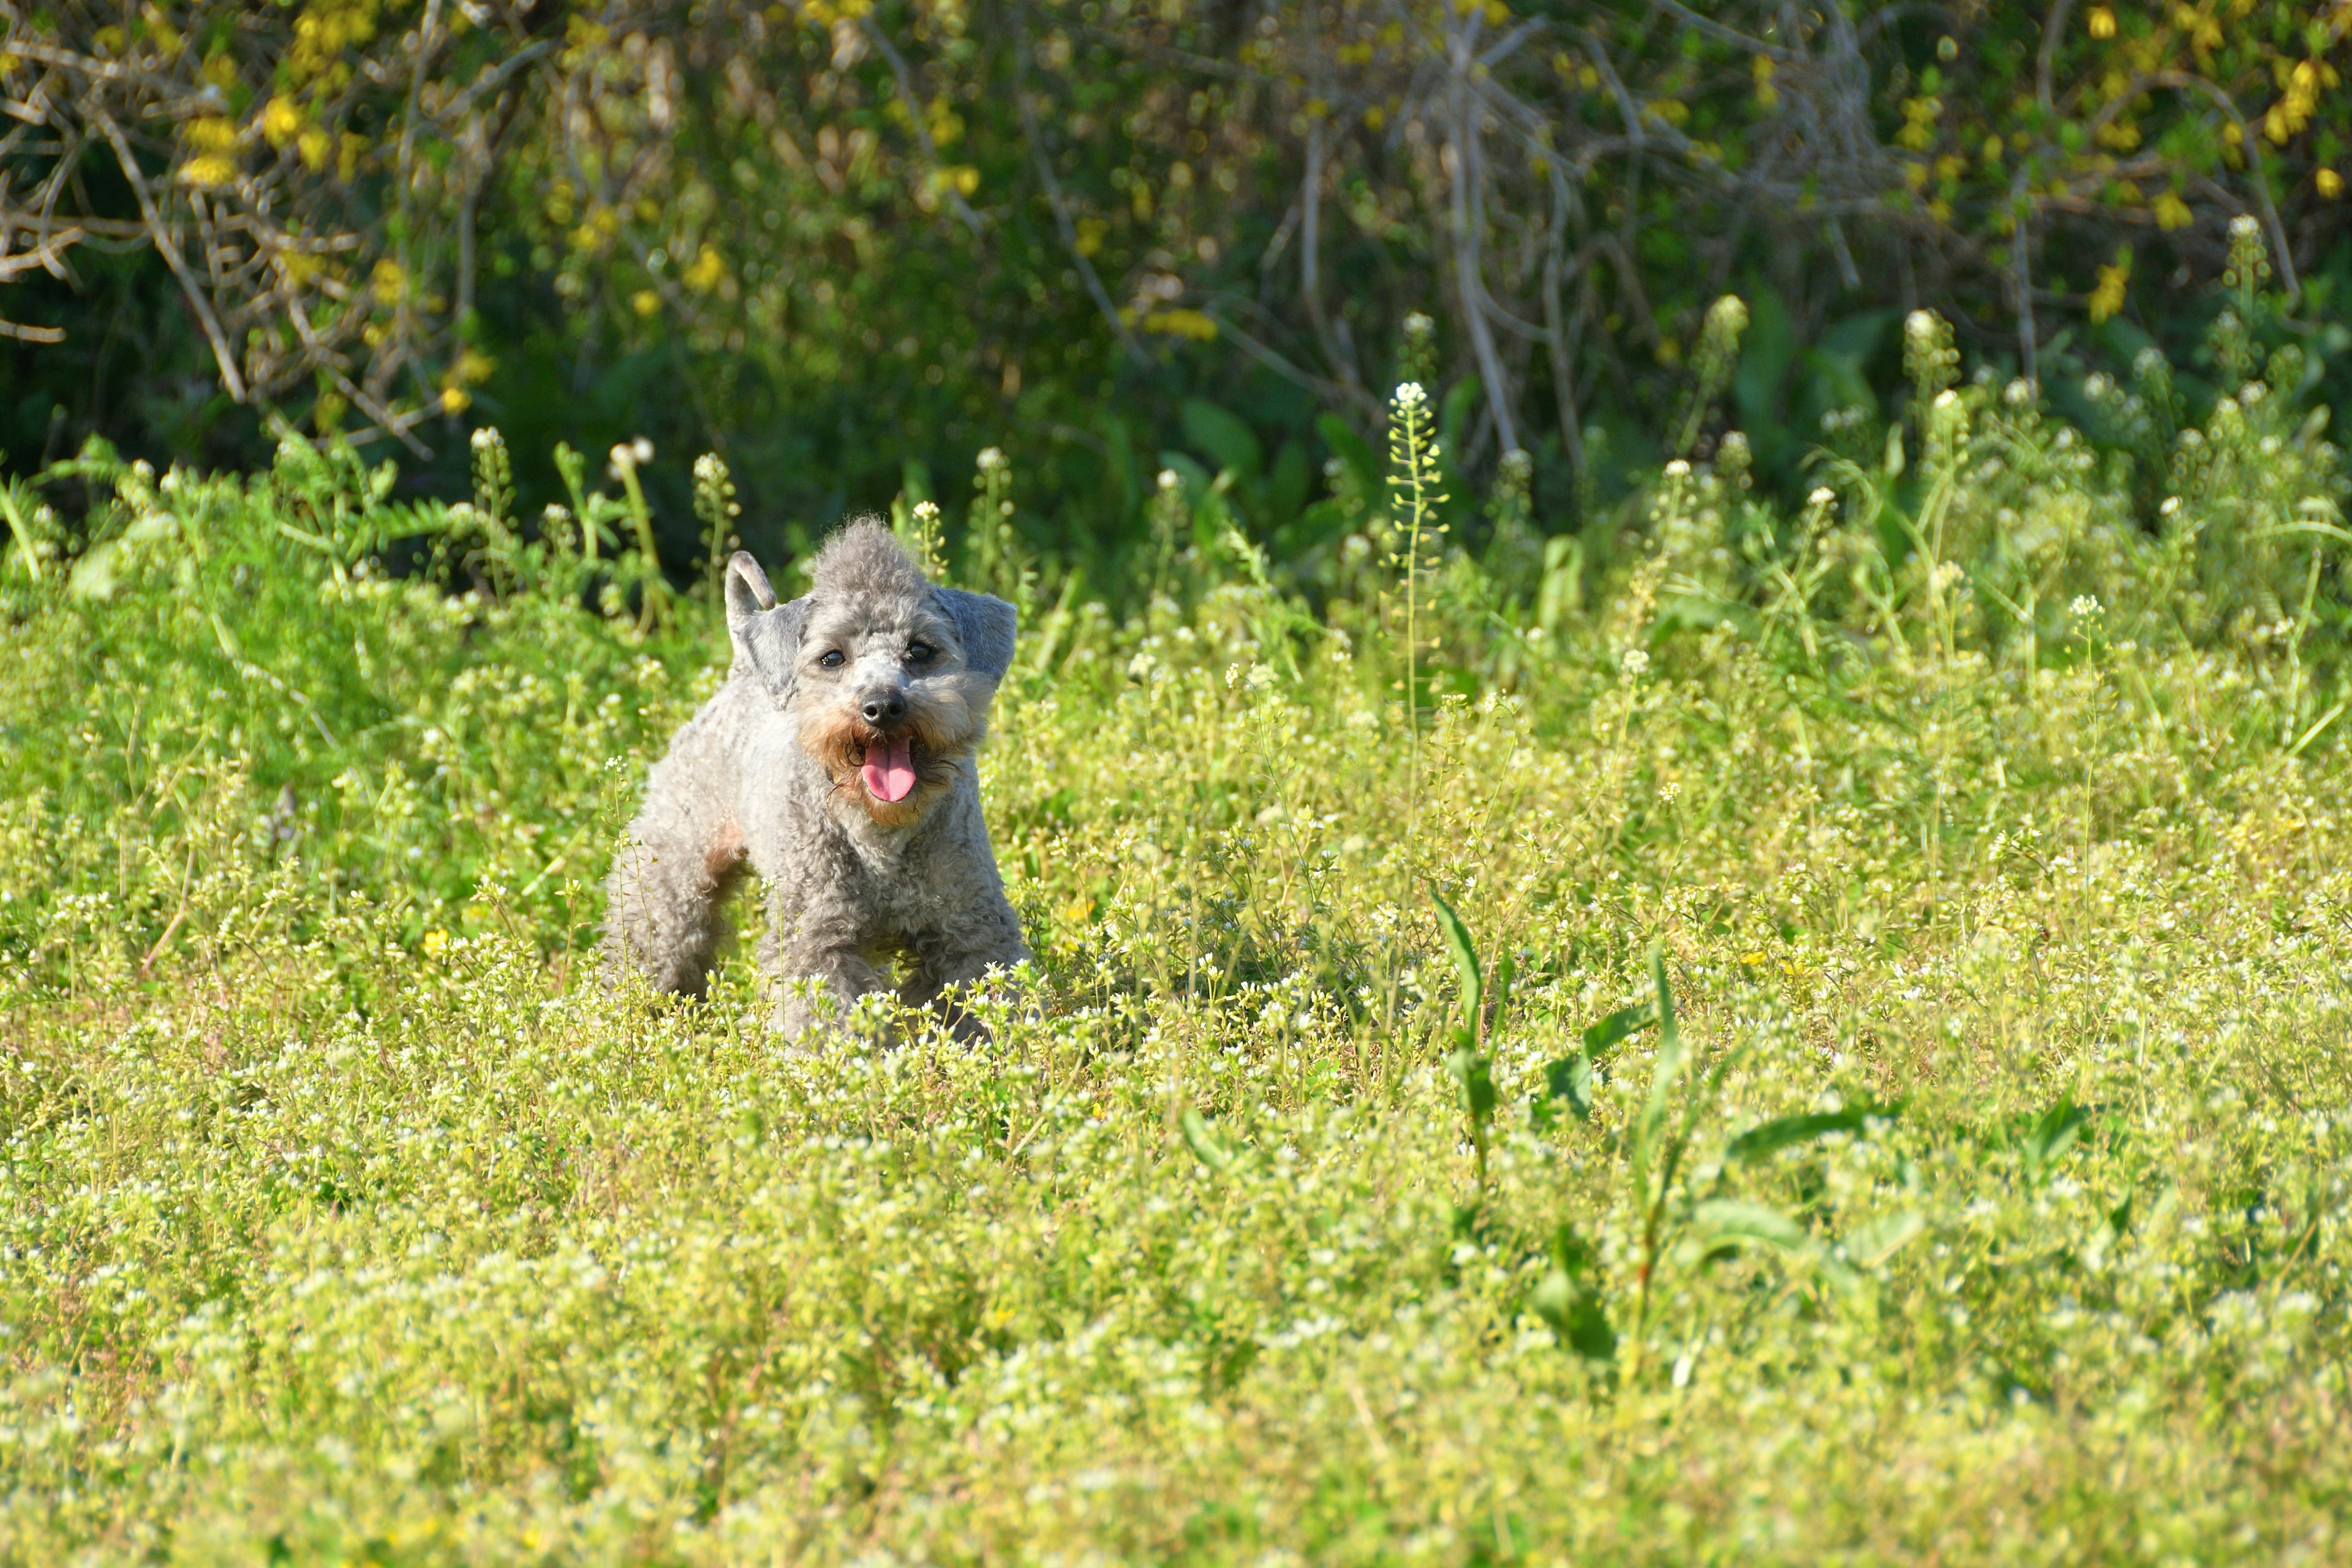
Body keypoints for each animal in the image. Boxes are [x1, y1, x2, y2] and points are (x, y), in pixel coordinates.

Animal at [611, 517, 1035, 1044]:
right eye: (832, 658)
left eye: (921, 649)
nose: (882, 706)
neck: (880, 836)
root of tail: (741, 667)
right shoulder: (817, 941)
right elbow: (822, 1020)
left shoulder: (971, 929)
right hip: (674, 874)